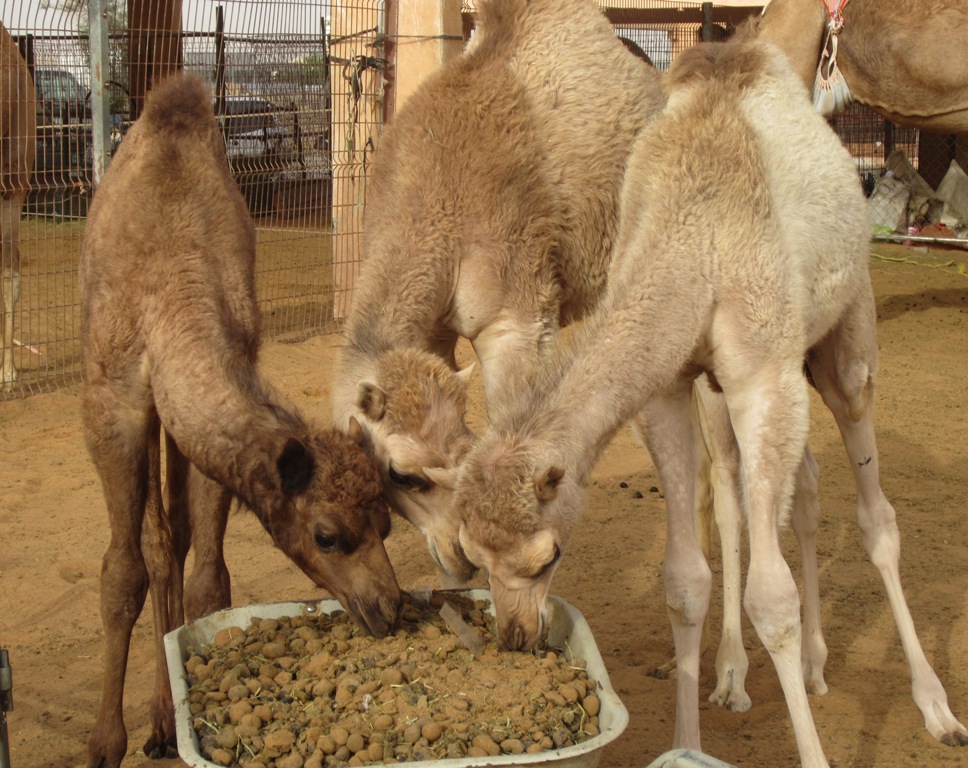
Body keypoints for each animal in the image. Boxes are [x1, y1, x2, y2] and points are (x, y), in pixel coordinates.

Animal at [79, 73, 402, 768]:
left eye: (388, 522)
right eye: (327, 534)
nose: (388, 609)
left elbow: (208, 579)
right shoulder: (108, 403)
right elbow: (120, 575)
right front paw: (103, 745)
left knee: (171, 538)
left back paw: (162, 723)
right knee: (151, 545)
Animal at [456, 37, 968, 768]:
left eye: (548, 557)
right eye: (473, 555)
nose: (516, 635)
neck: (695, 231)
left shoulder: (764, 375)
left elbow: (772, 597)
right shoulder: (669, 387)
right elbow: (684, 581)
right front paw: (687, 742)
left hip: (844, 339)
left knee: (876, 514)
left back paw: (936, 708)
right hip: (731, 388)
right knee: (789, 488)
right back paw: (803, 665)